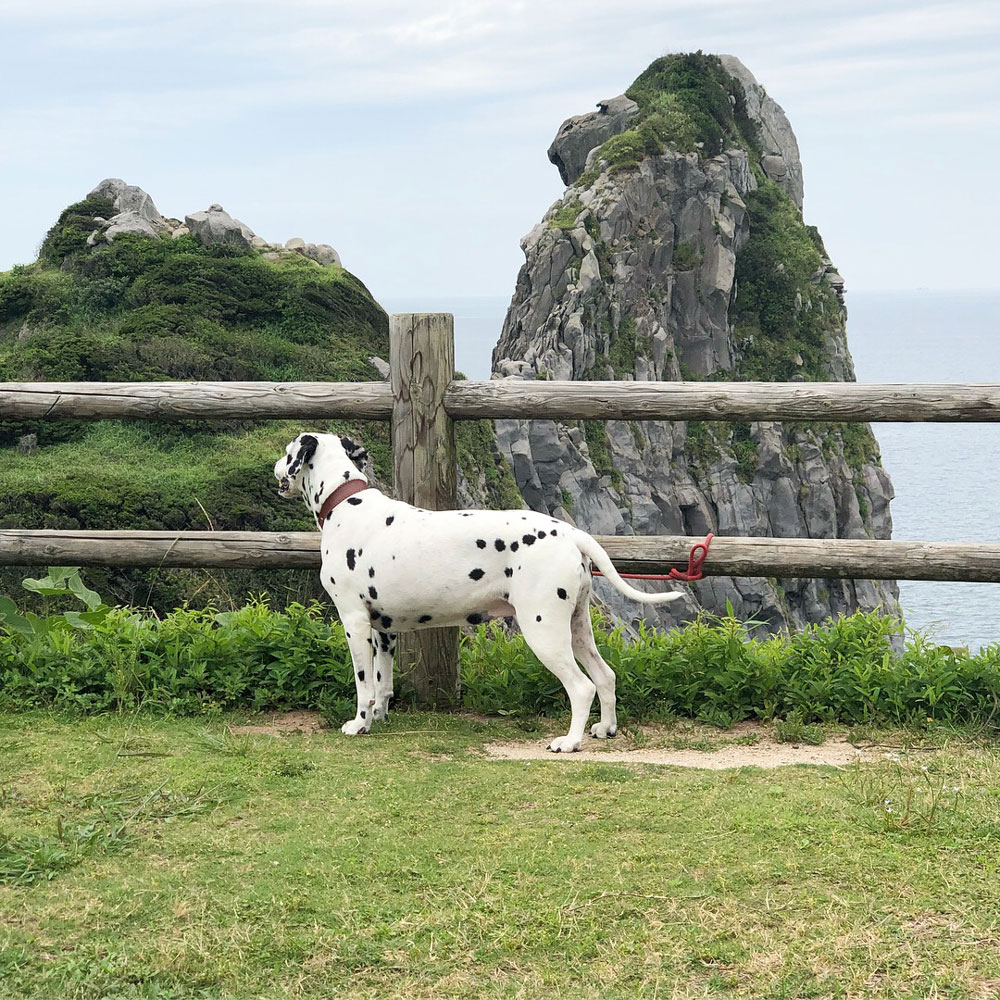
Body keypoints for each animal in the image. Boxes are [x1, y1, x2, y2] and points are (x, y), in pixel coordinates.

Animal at [276, 434, 688, 752]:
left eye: (287, 451)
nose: (276, 468)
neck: (346, 503)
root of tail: (571, 533)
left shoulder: (355, 623)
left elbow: (364, 684)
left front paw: (359, 724)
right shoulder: (384, 631)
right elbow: (384, 683)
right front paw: (379, 717)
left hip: (544, 632)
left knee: (582, 687)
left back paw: (569, 742)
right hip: (577, 628)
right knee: (605, 676)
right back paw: (605, 728)